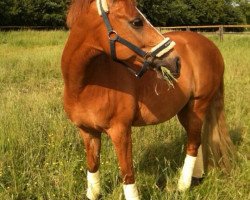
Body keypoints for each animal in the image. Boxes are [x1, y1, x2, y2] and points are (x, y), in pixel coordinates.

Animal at [61, 0, 234, 200]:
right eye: (137, 22)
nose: (176, 62)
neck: (87, 85)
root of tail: (211, 46)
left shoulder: (121, 131)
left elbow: (127, 174)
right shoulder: (87, 131)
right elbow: (93, 166)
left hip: (198, 105)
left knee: (192, 144)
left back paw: (182, 187)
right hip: (186, 111)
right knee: (195, 139)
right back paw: (195, 177)